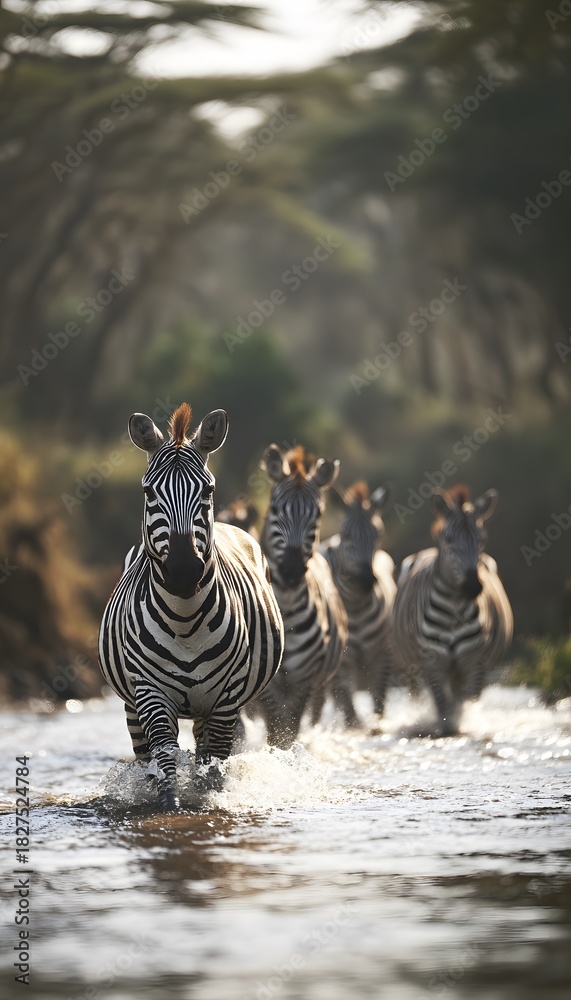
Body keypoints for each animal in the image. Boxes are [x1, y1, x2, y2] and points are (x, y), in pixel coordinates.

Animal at [98, 403, 284, 810]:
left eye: (208, 489)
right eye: (148, 491)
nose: (184, 572)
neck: (184, 621)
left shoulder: (227, 698)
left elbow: (213, 764)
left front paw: (208, 802)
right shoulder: (150, 691)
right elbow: (165, 758)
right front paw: (169, 806)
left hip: (208, 704)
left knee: (205, 751)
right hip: (133, 703)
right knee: (145, 755)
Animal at [247, 444, 348, 748]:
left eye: (317, 515)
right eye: (274, 510)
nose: (291, 570)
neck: (288, 612)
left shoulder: (304, 681)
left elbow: (288, 730)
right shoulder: (266, 685)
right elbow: (274, 728)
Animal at [317, 482, 396, 727]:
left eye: (378, 534)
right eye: (346, 535)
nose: (366, 581)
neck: (356, 606)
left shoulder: (384, 654)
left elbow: (379, 703)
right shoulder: (342, 663)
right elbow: (349, 710)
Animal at [392, 484, 513, 735]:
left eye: (482, 539)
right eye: (448, 539)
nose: (473, 586)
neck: (453, 608)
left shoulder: (474, 661)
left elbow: (467, 704)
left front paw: (464, 725)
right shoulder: (433, 662)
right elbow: (444, 711)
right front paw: (447, 729)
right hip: (410, 670)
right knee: (418, 696)